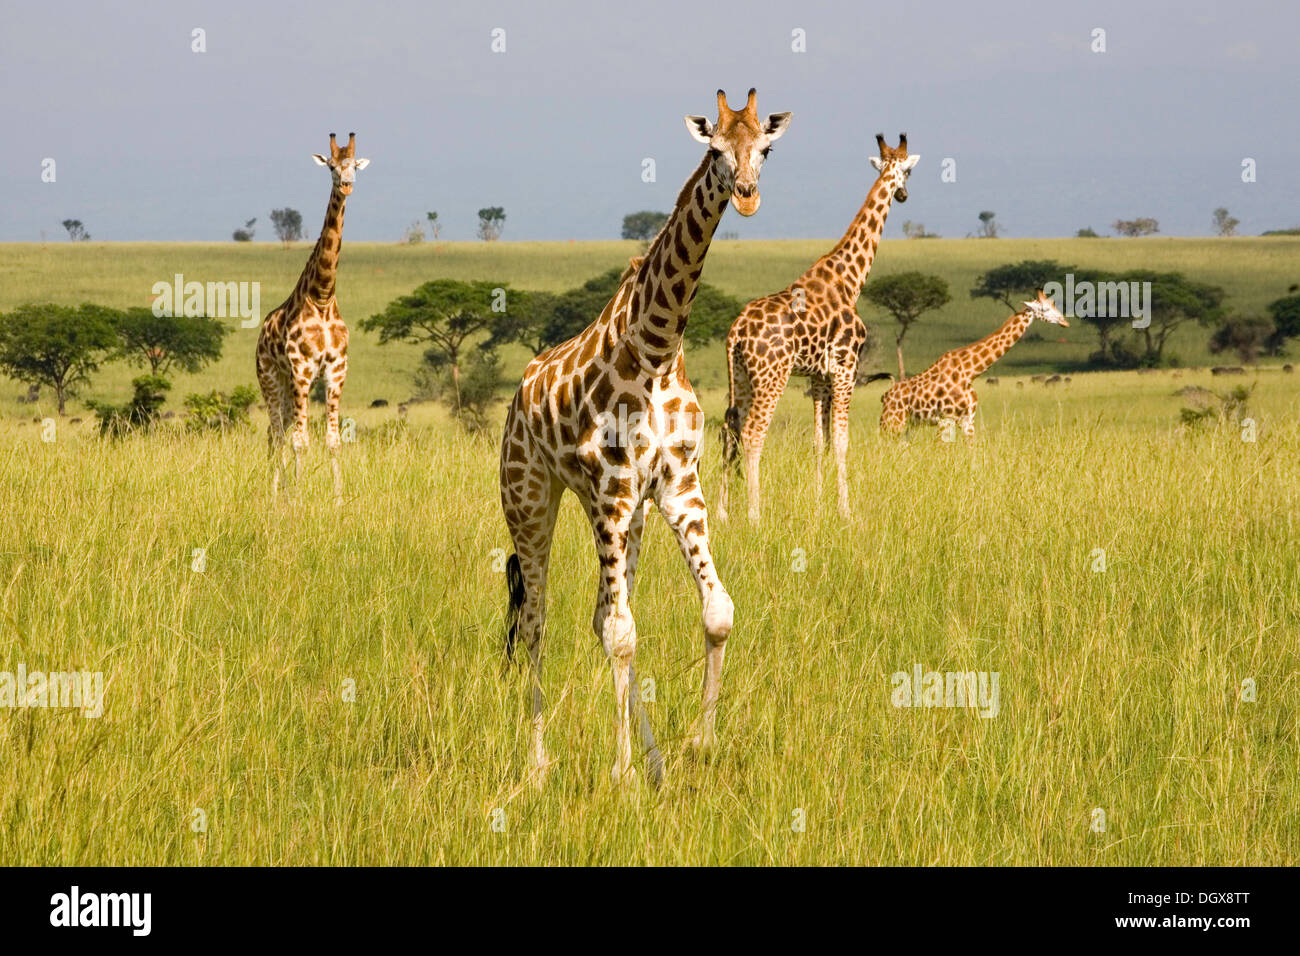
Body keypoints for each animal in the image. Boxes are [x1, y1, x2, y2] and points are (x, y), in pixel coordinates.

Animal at [253, 137, 369, 509]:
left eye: (353, 165)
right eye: (331, 167)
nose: (346, 185)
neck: (322, 297)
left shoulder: (336, 371)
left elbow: (332, 440)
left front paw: (338, 499)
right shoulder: (301, 370)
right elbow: (300, 442)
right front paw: (299, 496)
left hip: (289, 389)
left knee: (277, 432)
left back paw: (278, 488)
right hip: (271, 379)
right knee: (277, 435)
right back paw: (276, 493)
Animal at [499, 89, 790, 790]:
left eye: (765, 149)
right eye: (714, 150)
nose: (745, 195)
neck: (656, 349)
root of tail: (517, 399)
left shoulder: (677, 487)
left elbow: (716, 612)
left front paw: (695, 747)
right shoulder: (614, 488)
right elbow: (622, 633)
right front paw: (622, 773)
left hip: (620, 516)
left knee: (597, 613)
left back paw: (649, 758)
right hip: (533, 499)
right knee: (537, 622)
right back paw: (538, 766)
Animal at [717, 132, 920, 522]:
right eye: (908, 173)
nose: (904, 195)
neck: (850, 279)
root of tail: (735, 331)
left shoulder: (818, 377)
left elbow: (818, 440)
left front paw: (818, 502)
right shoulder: (845, 368)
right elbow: (840, 441)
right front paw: (846, 510)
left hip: (742, 377)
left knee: (728, 428)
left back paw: (720, 513)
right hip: (771, 377)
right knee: (752, 434)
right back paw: (754, 514)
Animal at [878, 287, 1071, 437]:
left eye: (1054, 304)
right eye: (1045, 309)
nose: (1065, 322)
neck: (970, 372)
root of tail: (886, 395)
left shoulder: (968, 420)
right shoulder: (945, 419)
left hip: (906, 425)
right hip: (892, 422)